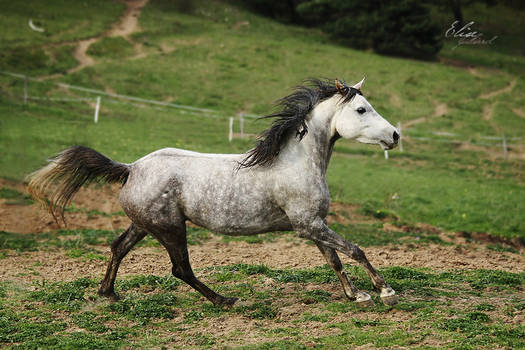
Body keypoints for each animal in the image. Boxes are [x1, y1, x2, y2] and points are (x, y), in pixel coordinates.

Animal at [29, 78, 398, 306]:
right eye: (361, 109)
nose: (395, 135)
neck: (296, 161)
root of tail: (131, 168)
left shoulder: (312, 225)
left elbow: (334, 258)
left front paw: (355, 295)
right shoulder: (308, 225)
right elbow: (354, 250)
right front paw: (384, 291)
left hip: (145, 225)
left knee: (118, 247)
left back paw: (108, 293)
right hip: (171, 229)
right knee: (181, 269)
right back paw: (224, 300)